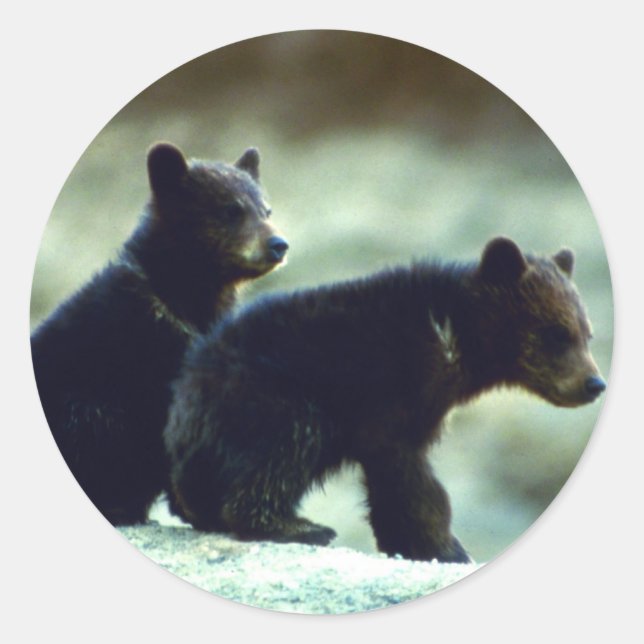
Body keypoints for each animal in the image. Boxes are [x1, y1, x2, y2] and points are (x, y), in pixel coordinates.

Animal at [162, 237, 606, 563]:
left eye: (587, 332)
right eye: (555, 333)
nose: (594, 383)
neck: (456, 337)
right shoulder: (396, 385)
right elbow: (407, 471)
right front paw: (443, 545)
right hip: (267, 394)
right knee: (284, 445)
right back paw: (302, 526)